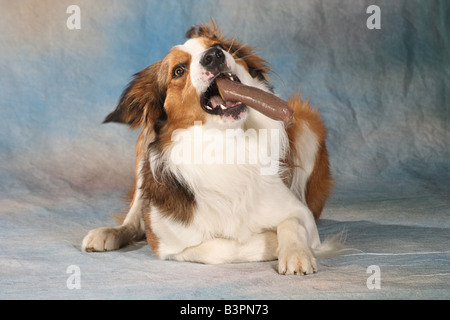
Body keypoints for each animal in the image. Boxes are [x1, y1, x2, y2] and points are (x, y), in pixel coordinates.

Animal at [81, 21, 342, 274]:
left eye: (218, 46)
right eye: (178, 70)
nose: (213, 56)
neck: (225, 143)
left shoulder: (301, 213)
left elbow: (291, 224)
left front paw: (296, 254)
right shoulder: (167, 244)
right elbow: (221, 249)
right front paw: (270, 241)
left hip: (307, 124)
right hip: (143, 146)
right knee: (133, 218)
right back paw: (108, 233)